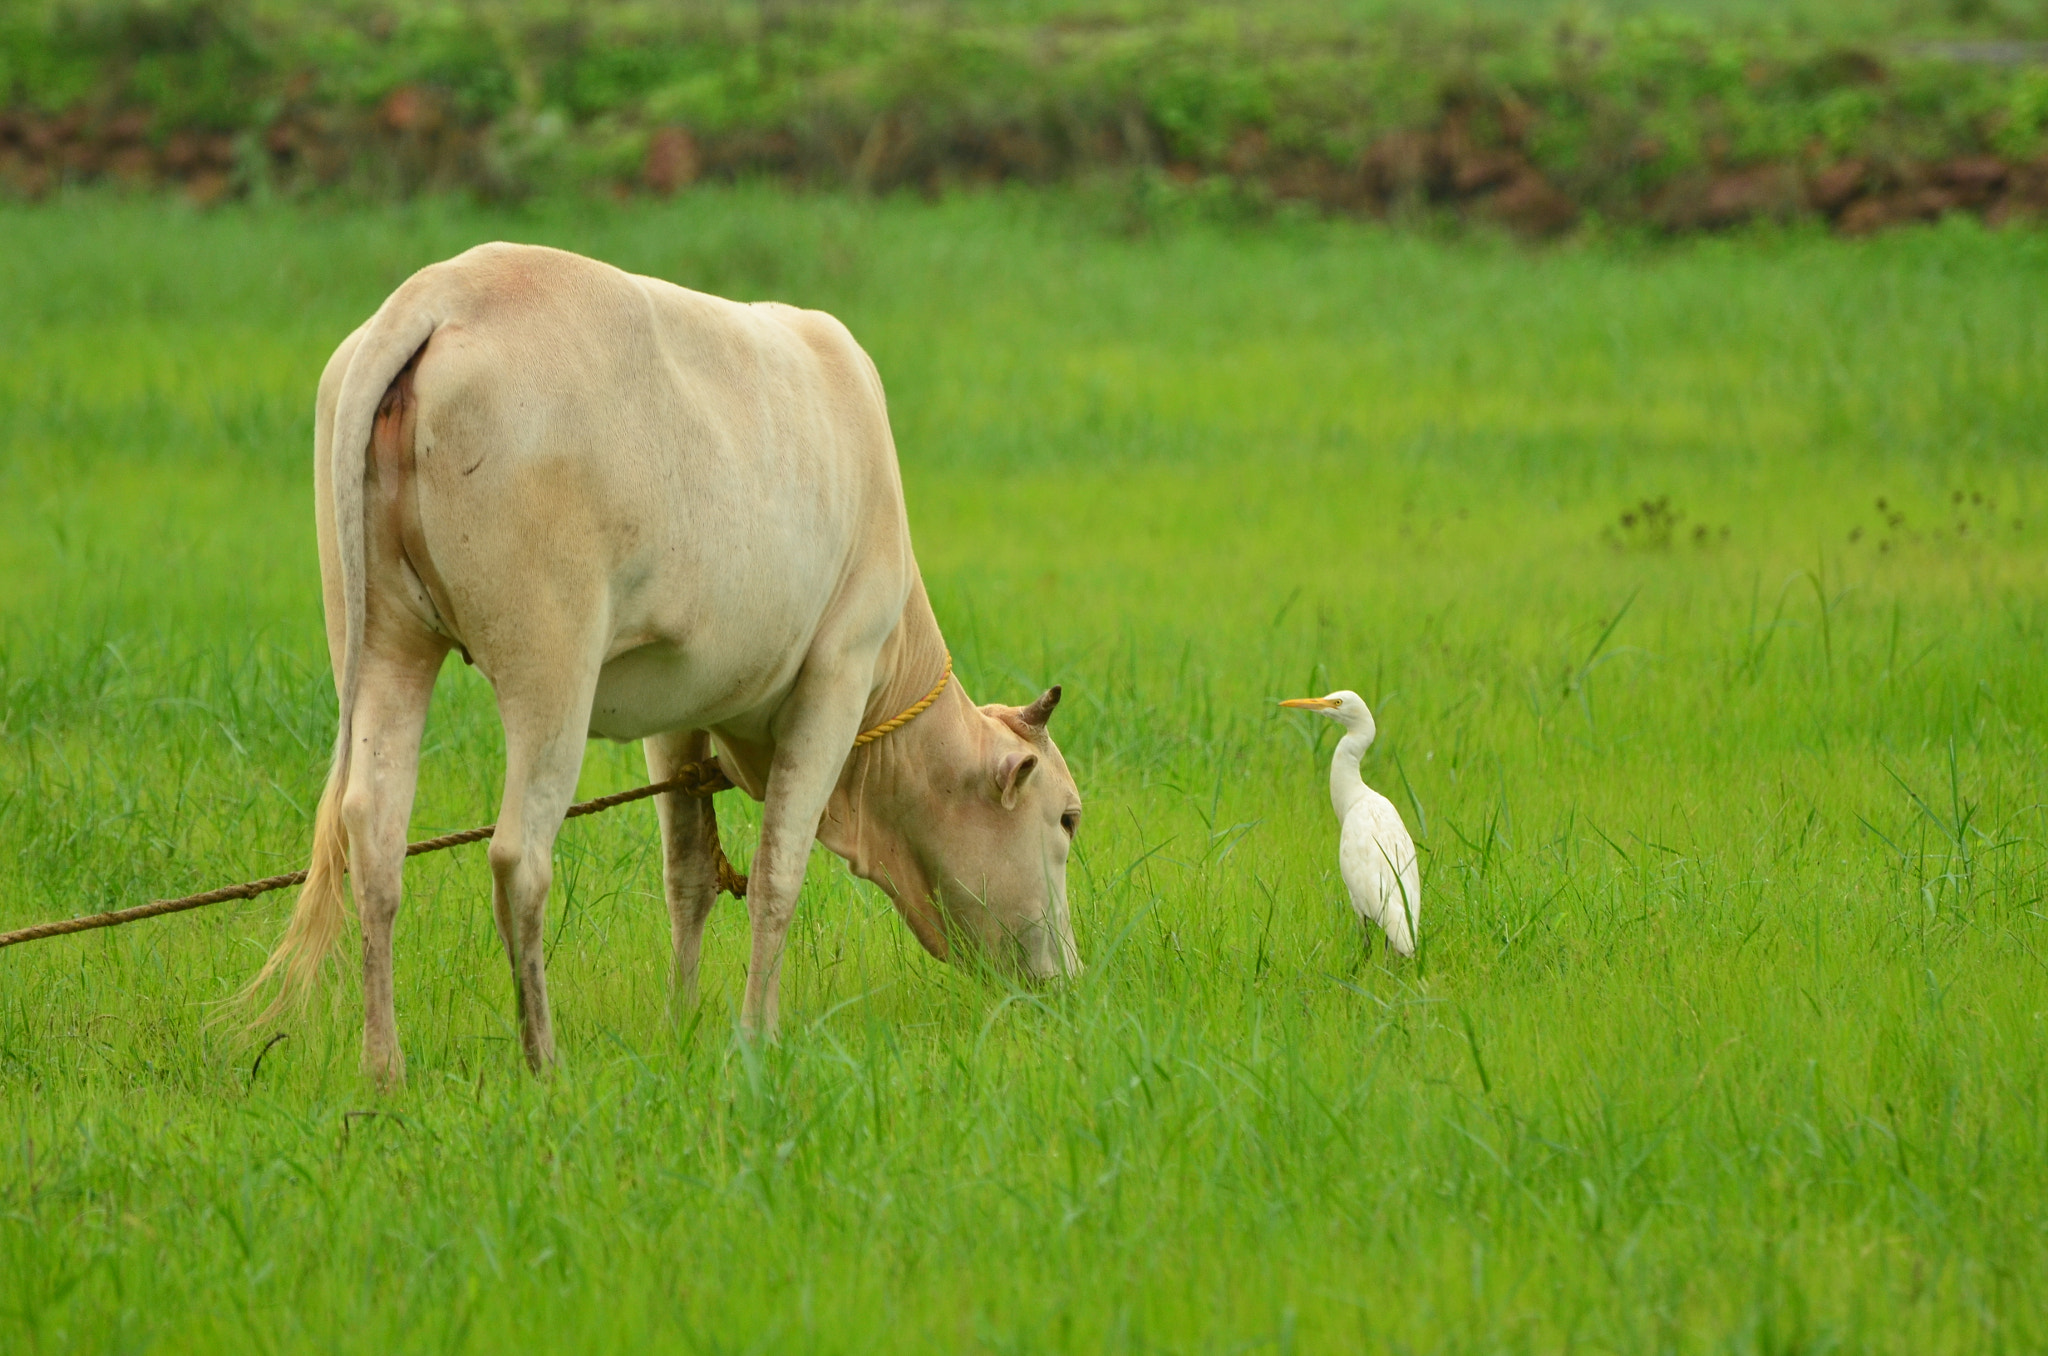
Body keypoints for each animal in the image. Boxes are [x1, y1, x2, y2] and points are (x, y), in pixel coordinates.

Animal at [245, 242, 1082, 1085]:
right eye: (1068, 819)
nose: (1069, 981)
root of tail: (442, 293)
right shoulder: (838, 678)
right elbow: (779, 873)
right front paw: (756, 1036)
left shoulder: (680, 714)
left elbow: (689, 876)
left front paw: (683, 1024)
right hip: (552, 664)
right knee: (519, 857)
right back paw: (542, 1061)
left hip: (384, 640)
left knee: (375, 836)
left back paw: (383, 1067)